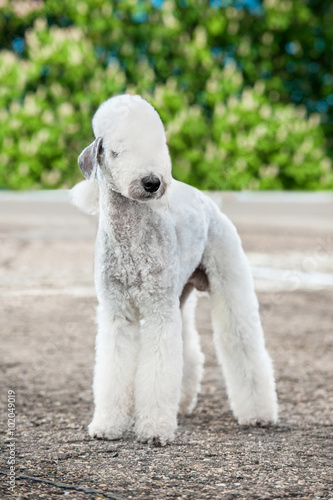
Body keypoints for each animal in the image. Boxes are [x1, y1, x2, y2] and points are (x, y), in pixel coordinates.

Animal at [70, 94, 278, 446]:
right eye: (116, 151)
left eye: (158, 146)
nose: (153, 182)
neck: (131, 235)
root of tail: (205, 198)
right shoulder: (118, 312)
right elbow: (115, 369)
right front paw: (108, 425)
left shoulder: (158, 312)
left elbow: (158, 369)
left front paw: (154, 430)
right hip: (178, 295)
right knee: (189, 352)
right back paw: (180, 403)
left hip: (226, 278)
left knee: (242, 342)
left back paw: (259, 415)